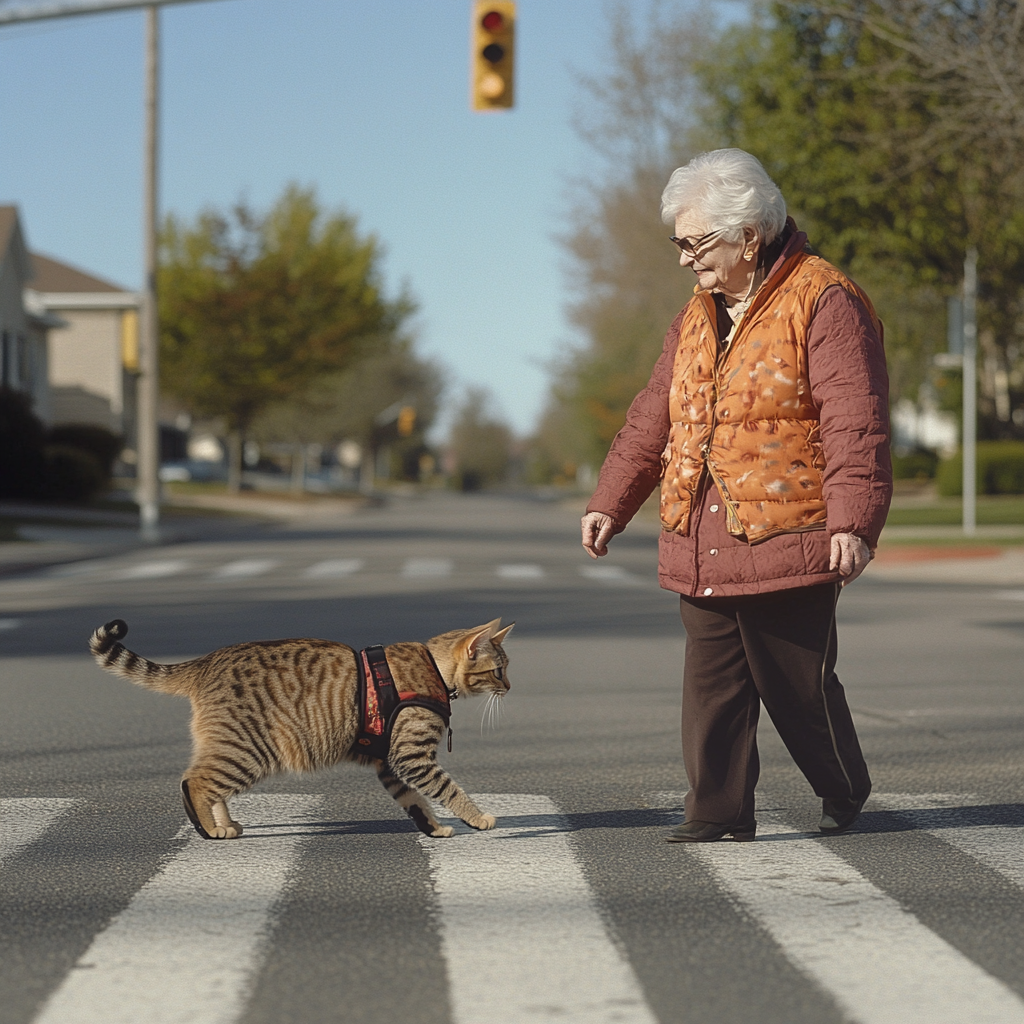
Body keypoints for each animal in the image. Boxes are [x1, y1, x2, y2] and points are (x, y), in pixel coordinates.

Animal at [90, 614, 512, 839]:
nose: (509, 687)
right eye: (499, 670)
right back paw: (208, 828)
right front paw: (477, 818)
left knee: (211, 784)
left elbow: (416, 802)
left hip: (231, 747)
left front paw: (433, 828)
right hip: (249, 751)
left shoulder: (389, 762)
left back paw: (224, 823)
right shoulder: (411, 756)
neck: (434, 669)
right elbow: (449, 789)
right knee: (194, 782)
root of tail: (207, 660)